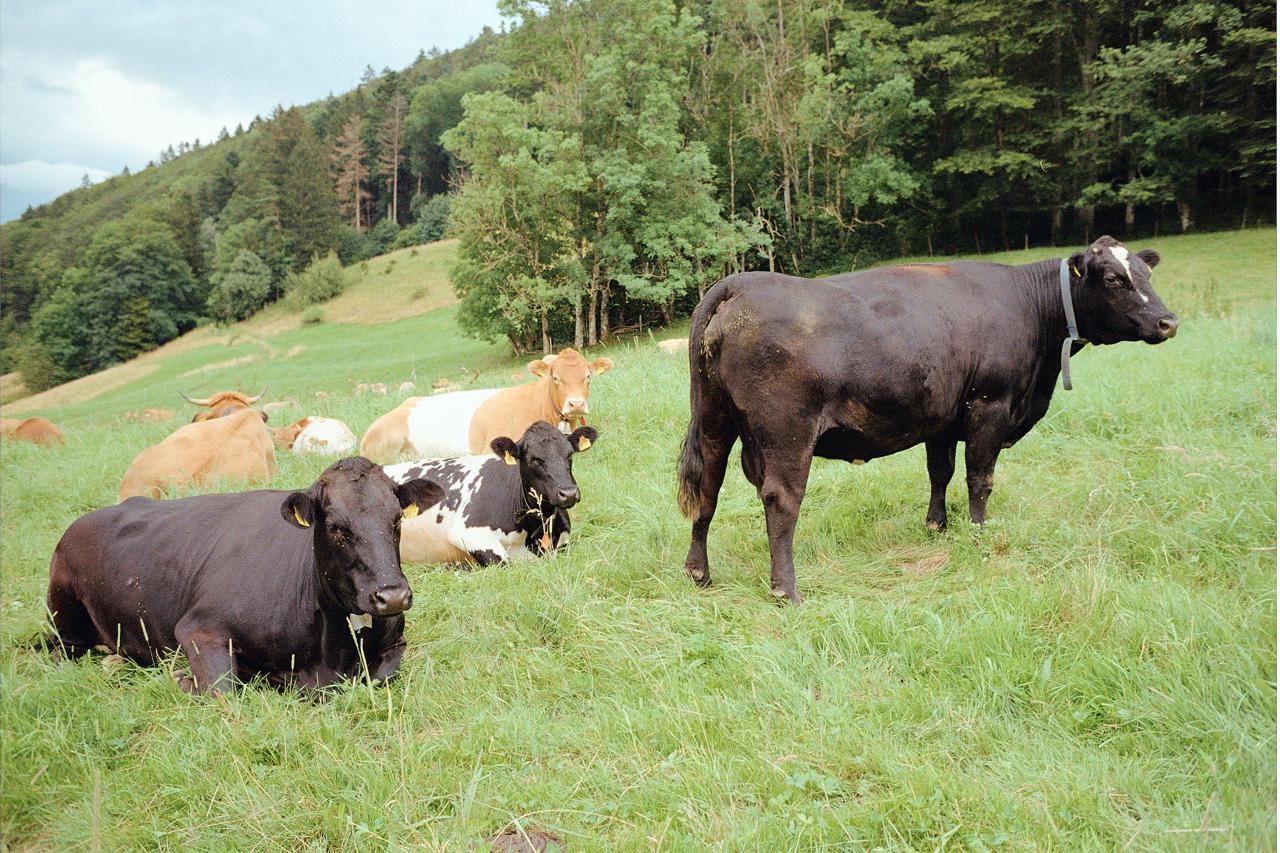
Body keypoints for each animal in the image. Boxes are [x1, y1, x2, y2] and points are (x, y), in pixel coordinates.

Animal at [47, 457, 443, 693]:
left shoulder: (394, 642)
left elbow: (383, 674)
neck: (332, 648)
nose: (392, 595)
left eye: (396, 519)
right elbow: (223, 689)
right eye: (336, 527)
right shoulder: (198, 627)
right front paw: (183, 677)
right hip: (61, 610)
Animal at [677, 236, 1179, 603]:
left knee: (708, 489)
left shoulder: (942, 418)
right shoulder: (990, 406)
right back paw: (787, 590)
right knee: (781, 500)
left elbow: (940, 471)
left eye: (1147, 273)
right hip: (788, 433)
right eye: (1113, 278)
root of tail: (739, 284)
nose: (1168, 322)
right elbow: (979, 477)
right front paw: (978, 533)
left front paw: (937, 525)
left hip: (715, 421)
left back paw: (698, 573)